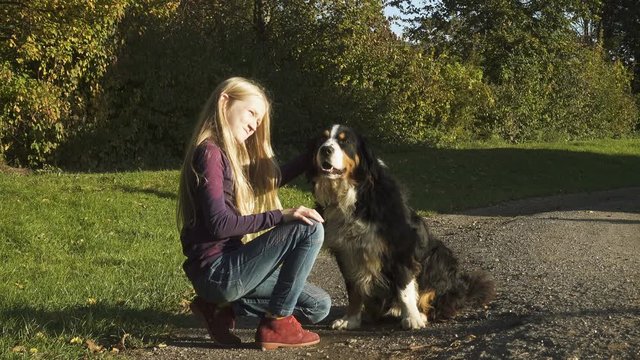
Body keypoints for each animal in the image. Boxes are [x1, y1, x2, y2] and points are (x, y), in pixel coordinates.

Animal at [308, 125, 496, 330]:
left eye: (345, 141)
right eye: (322, 139)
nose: (325, 150)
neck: (355, 195)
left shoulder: (401, 249)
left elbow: (404, 289)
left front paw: (412, 318)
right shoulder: (347, 253)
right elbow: (354, 292)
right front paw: (350, 320)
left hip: (439, 255)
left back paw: (419, 313)